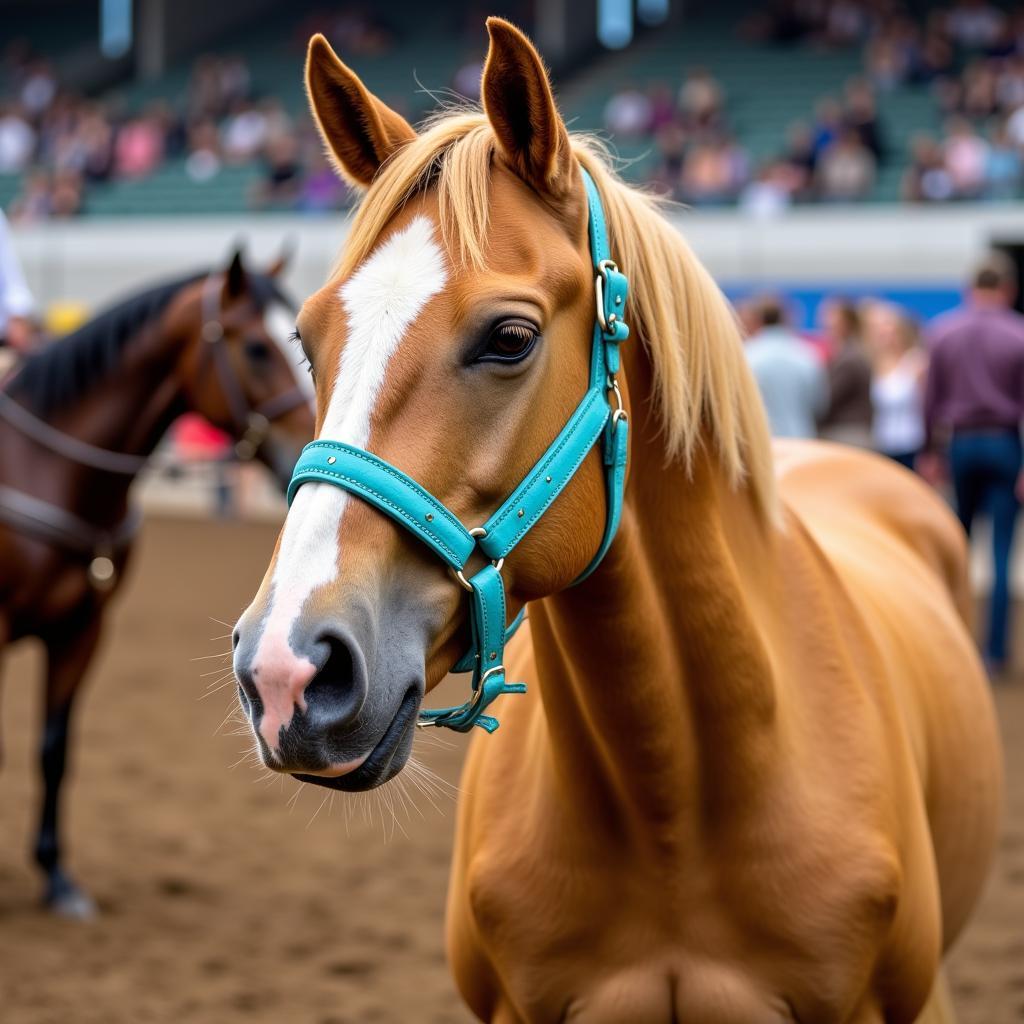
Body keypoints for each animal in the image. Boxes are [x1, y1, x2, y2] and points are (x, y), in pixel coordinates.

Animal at [0, 249, 311, 921]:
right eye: (256, 347)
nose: (309, 449)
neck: (42, 471)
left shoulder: (83, 630)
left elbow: (54, 748)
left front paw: (57, 877)